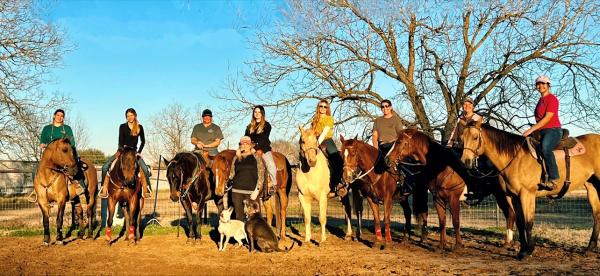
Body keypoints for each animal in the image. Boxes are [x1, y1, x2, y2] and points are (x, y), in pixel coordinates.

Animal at [384, 128, 516, 251]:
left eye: (399, 142)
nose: (387, 159)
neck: (442, 167)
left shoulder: (454, 199)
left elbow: (456, 222)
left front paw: (458, 245)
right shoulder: (438, 199)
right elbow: (442, 222)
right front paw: (442, 245)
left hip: (504, 195)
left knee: (511, 213)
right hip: (500, 196)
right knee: (509, 214)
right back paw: (507, 243)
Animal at [460, 121, 600, 258]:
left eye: (475, 137)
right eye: (462, 138)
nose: (465, 161)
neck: (516, 159)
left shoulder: (527, 195)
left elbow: (528, 222)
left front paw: (529, 250)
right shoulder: (514, 197)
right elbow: (520, 223)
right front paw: (522, 250)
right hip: (591, 186)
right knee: (596, 215)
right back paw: (589, 248)